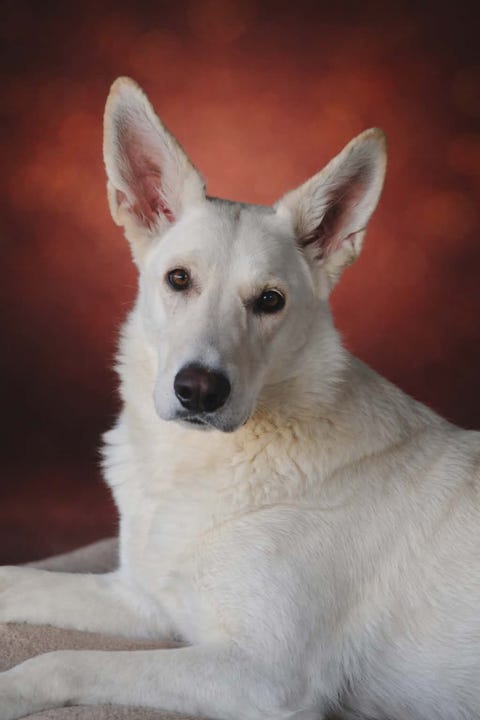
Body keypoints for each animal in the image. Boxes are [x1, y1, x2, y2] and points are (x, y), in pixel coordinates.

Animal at [1, 77, 479, 720]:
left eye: (270, 301)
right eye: (179, 279)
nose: (199, 389)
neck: (197, 461)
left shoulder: (264, 676)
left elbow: (63, 660)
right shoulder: (144, 599)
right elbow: (17, 579)